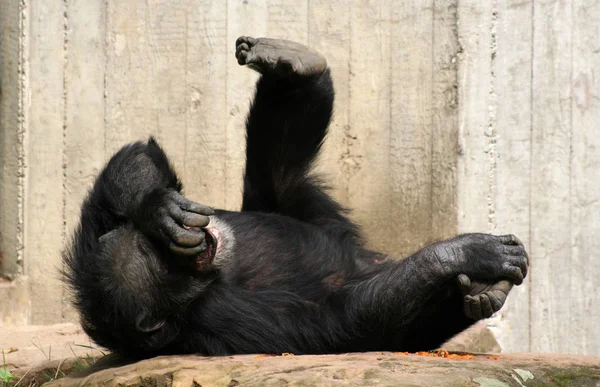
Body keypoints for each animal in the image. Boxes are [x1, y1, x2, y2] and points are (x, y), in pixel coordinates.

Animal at [63, 35, 528, 358]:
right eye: (172, 265)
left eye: (161, 249)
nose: (200, 239)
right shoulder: (224, 320)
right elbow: (338, 322)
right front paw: (464, 253)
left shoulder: (93, 235)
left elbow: (130, 165)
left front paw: (159, 210)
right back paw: (483, 289)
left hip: (306, 211)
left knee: (283, 177)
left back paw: (293, 63)